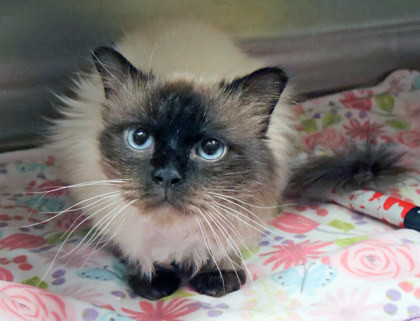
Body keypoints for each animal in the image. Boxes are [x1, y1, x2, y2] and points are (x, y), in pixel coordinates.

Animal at [49, 20, 406, 300]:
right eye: (139, 139)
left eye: (210, 148)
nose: (167, 175)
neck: (173, 234)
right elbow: (136, 249)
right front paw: (153, 281)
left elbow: (221, 250)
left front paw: (217, 278)